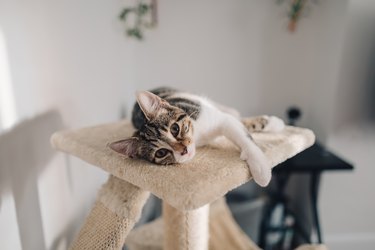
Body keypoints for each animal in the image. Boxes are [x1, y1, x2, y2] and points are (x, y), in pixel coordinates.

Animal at [110, 87, 286, 187]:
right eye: (161, 153)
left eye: (175, 129)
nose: (184, 150)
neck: (198, 134)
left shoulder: (215, 117)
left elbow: (242, 133)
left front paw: (261, 168)